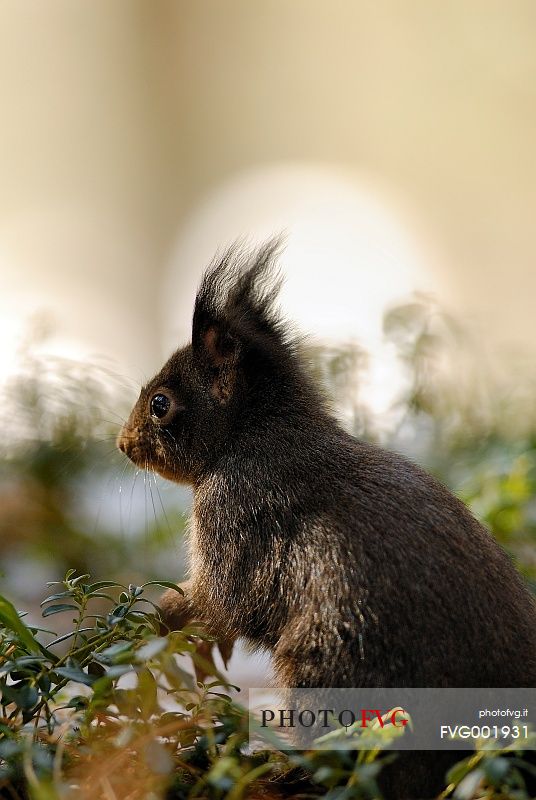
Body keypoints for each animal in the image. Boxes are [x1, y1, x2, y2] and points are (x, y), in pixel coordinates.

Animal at [118, 242, 536, 800]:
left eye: (161, 403)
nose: (123, 444)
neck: (252, 435)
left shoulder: (235, 513)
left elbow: (222, 596)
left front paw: (160, 617)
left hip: (327, 672)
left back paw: (284, 769)